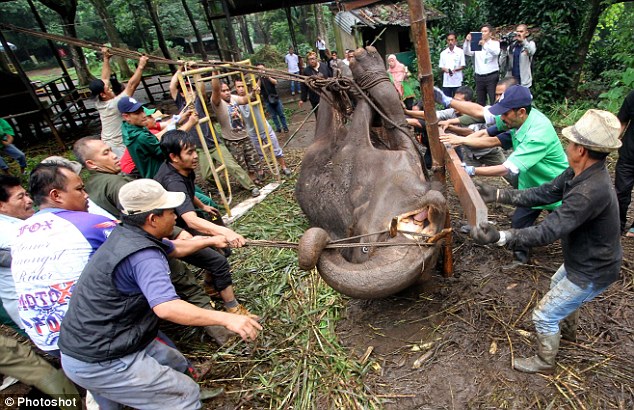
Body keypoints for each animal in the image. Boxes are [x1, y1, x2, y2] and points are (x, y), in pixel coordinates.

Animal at [296, 47, 446, 298]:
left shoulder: (393, 156)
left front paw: (358, 69)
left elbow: (381, 114)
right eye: (365, 248)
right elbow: (386, 113)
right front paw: (357, 71)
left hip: (321, 142)